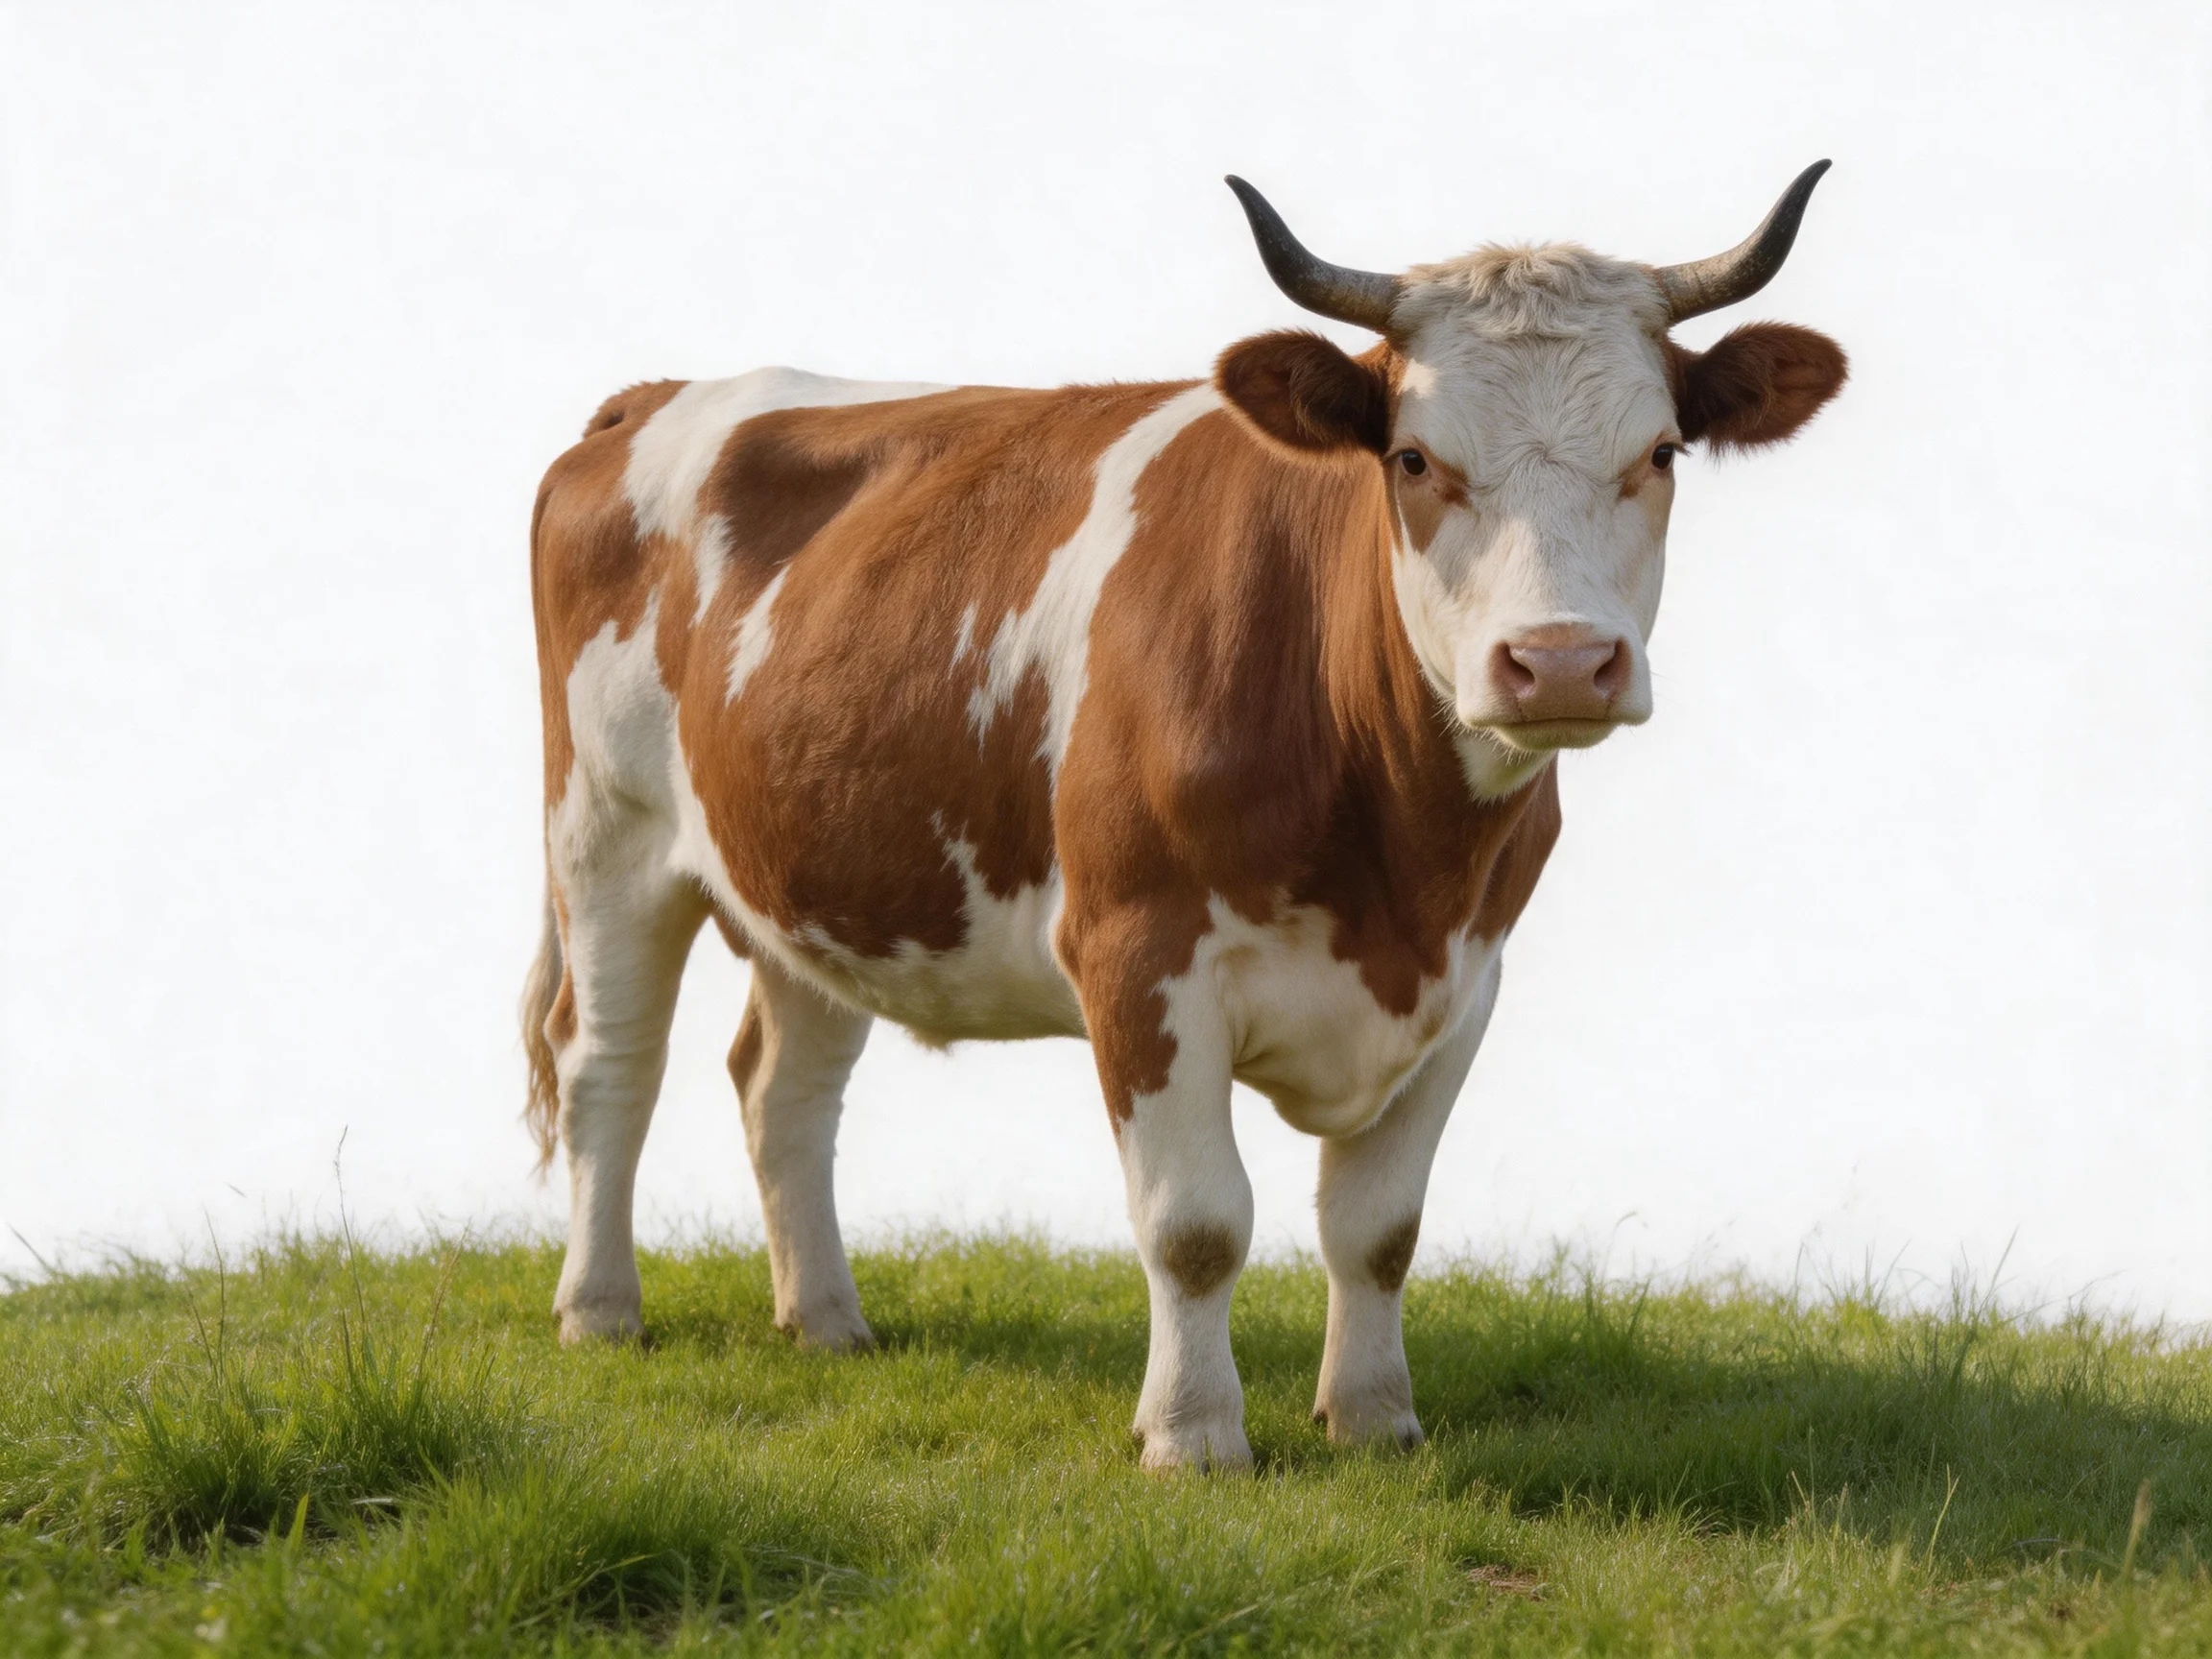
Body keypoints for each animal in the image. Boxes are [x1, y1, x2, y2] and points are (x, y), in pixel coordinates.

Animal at [519, 165, 1848, 1469]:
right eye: (1415, 460)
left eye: (1663, 451)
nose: (1561, 662)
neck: (1398, 865)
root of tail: (656, 397)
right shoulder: (1138, 952)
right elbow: (1197, 1224)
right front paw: (1195, 1434)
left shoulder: (1467, 978)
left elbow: (1380, 1228)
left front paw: (1375, 1419)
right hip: (606, 835)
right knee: (607, 1067)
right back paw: (598, 1311)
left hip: (824, 872)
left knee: (782, 1087)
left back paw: (829, 1323)